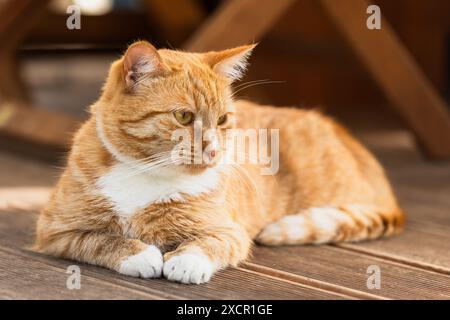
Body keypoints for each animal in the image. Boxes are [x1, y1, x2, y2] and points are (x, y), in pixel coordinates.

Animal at [34, 41, 404, 284]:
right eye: (184, 116)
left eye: (223, 119)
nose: (213, 151)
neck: (145, 172)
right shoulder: (56, 230)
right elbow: (100, 239)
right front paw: (138, 253)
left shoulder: (230, 231)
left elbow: (208, 242)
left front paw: (187, 261)